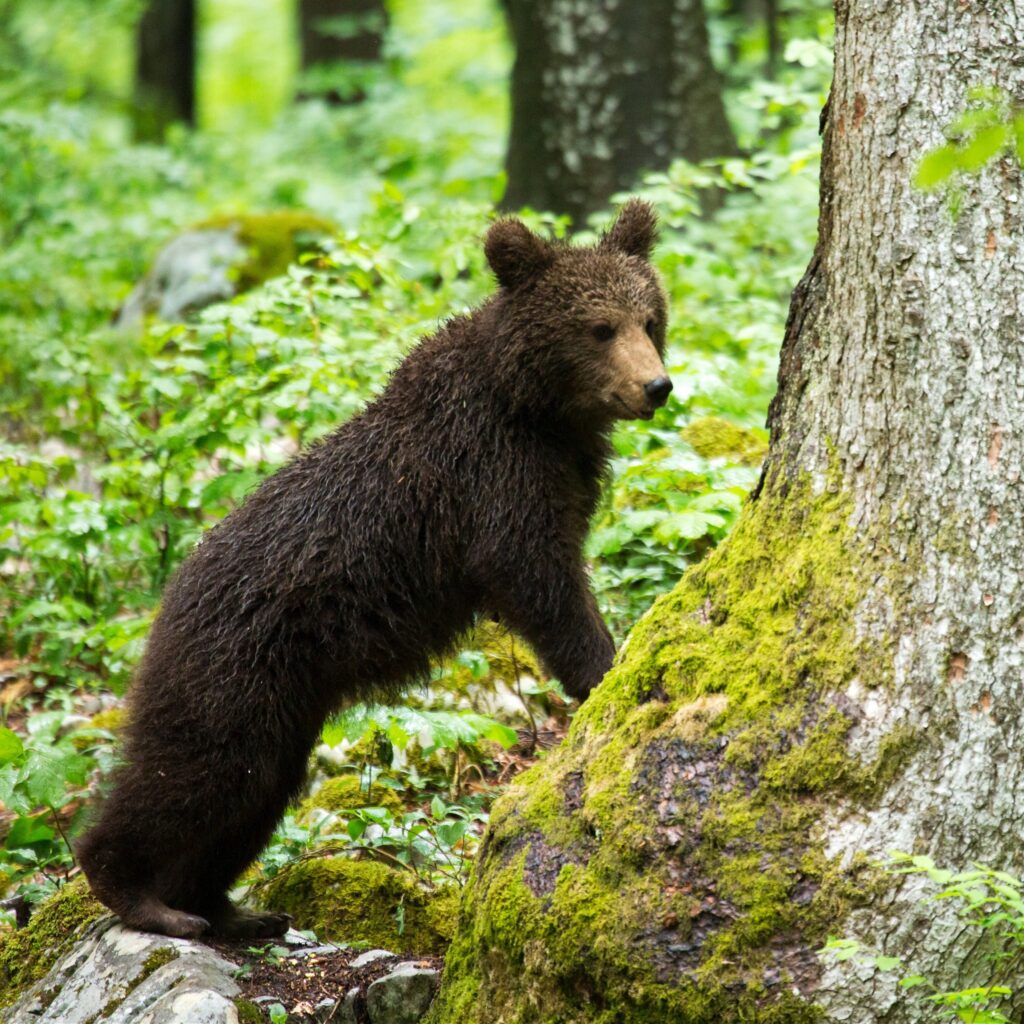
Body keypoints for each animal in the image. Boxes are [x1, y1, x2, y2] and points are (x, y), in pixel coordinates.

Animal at [77, 195, 671, 937]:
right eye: (598, 327)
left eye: (649, 318)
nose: (656, 386)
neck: (537, 411)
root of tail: (168, 596)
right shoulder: (492, 482)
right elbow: (541, 581)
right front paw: (605, 668)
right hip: (231, 674)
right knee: (193, 773)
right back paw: (142, 895)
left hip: (283, 708)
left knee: (252, 797)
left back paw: (230, 908)